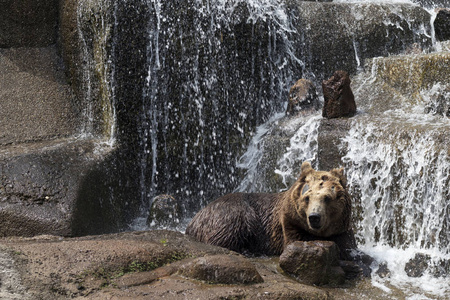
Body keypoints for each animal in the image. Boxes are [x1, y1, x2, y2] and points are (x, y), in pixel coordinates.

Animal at [185, 162, 356, 258]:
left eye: (327, 198)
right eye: (307, 197)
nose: (314, 217)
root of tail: (194, 218)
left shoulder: (342, 229)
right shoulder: (288, 223)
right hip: (231, 212)